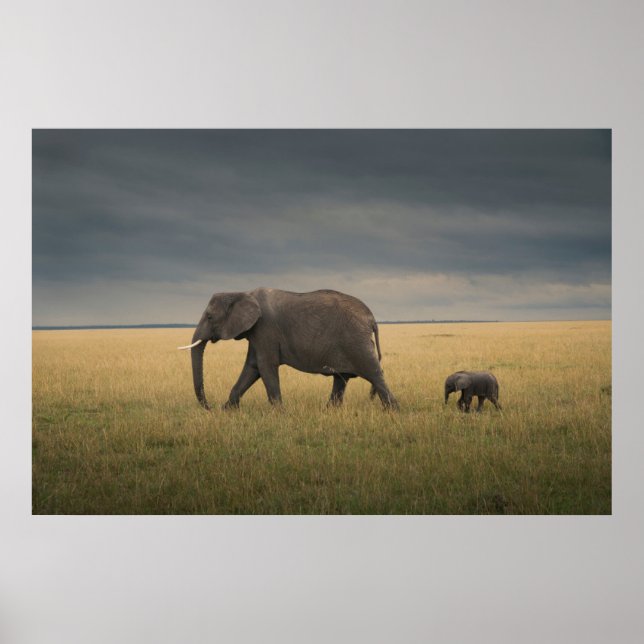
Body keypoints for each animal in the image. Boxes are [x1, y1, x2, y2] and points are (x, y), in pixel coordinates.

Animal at [178, 287, 399, 410]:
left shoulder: (265, 328)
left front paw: (279, 413)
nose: (209, 407)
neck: (241, 293)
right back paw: (329, 411)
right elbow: (252, 367)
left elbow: (265, 366)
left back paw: (392, 411)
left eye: (209, 317)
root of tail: (371, 318)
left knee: (374, 374)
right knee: (341, 378)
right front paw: (227, 410)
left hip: (356, 341)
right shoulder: (256, 332)